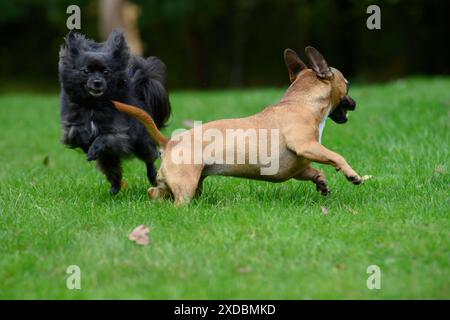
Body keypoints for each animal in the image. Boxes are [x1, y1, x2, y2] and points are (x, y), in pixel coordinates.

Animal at [58, 31, 171, 194]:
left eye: (106, 72)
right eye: (86, 71)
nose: (97, 82)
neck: (93, 105)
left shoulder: (120, 134)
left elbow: (104, 138)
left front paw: (93, 147)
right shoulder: (70, 127)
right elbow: (76, 132)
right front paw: (86, 143)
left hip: (142, 145)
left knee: (150, 159)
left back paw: (153, 178)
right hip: (109, 159)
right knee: (115, 173)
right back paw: (114, 190)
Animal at [114, 46, 364, 205]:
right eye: (348, 84)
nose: (354, 102)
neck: (301, 102)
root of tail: (170, 142)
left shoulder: (300, 166)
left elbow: (315, 170)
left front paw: (321, 183)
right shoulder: (306, 146)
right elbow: (336, 156)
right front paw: (352, 175)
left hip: (179, 184)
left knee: (154, 192)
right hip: (187, 186)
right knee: (178, 203)